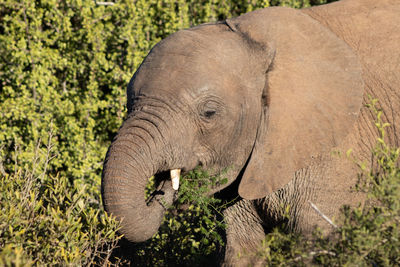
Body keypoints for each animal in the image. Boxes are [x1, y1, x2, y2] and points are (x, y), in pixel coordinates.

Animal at [101, 0, 398, 266]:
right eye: (128, 104)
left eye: (209, 113)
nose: (163, 188)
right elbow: (243, 250)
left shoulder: (340, 148)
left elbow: (318, 243)